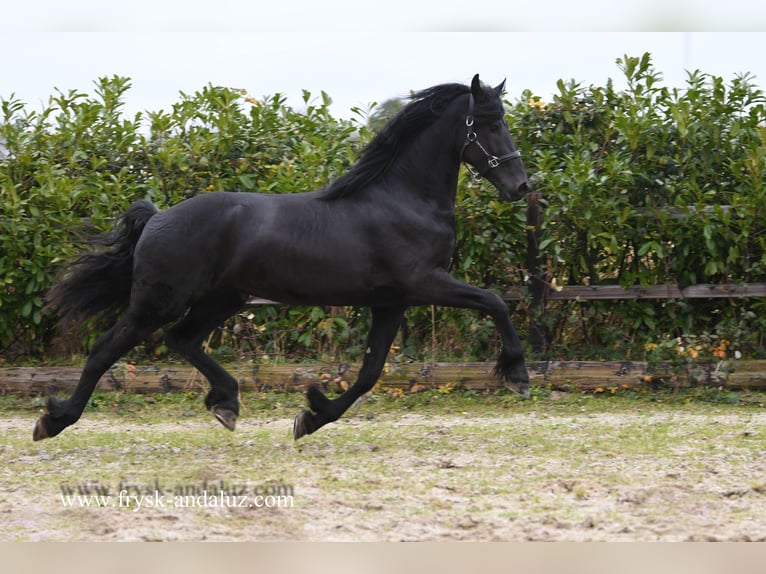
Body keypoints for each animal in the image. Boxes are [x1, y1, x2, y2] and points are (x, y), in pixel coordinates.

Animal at [34, 74, 528, 444]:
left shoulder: (391, 301)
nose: (521, 186)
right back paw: (53, 420)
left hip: (223, 298)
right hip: (160, 301)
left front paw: (311, 417)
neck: (402, 199)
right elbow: (494, 302)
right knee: (107, 348)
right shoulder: (425, 282)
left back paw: (227, 403)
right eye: (487, 123)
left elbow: (369, 373)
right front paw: (518, 374)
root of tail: (157, 217)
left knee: (182, 339)